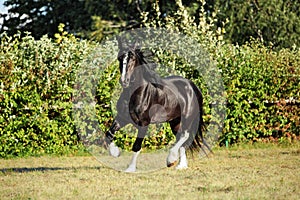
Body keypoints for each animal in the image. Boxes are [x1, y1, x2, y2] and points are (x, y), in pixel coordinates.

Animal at [104, 37, 207, 172]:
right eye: (119, 58)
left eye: (132, 58)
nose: (124, 81)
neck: (135, 94)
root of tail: (193, 86)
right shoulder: (123, 118)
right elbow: (109, 133)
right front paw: (115, 152)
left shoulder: (144, 123)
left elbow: (136, 146)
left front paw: (130, 168)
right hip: (175, 121)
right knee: (181, 137)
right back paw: (181, 165)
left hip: (187, 118)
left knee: (185, 135)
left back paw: (171, 160)